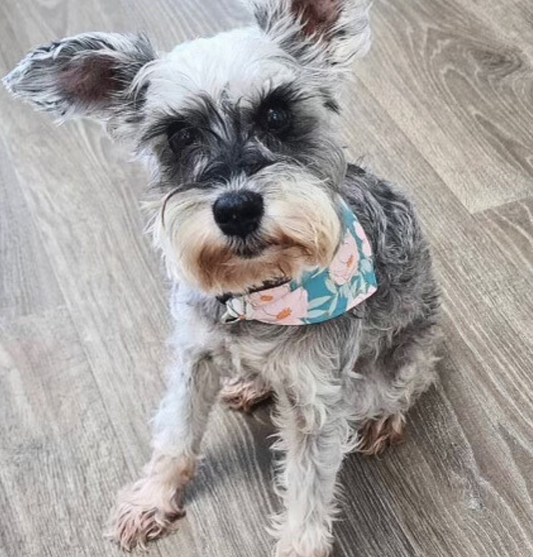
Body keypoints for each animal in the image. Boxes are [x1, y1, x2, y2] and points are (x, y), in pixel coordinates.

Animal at [5, 1, 440, 556]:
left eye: (276, 113)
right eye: (179, 134)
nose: (236, 209)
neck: (260, 289)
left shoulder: (316, 401)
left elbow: (307, 489)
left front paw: (297, 544)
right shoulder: (193, 357)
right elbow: (175, 434)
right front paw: (151, 498)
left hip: (400, 360)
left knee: (406, 385)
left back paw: (383, 417)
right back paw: (249, 383)